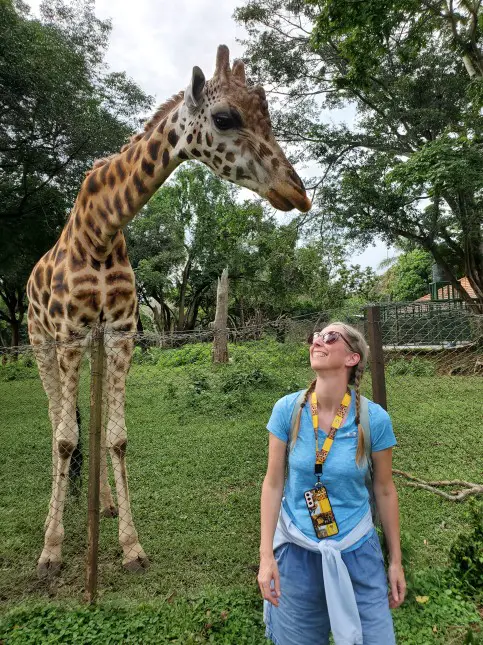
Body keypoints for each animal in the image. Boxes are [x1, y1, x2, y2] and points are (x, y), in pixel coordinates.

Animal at [27, 46, 314, 580]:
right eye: (224, 118)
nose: (297, 192)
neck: (101, 231)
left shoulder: (121, 332)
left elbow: (116, 436)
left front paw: (130, 545)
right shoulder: (70, 332)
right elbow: (64, 438)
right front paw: (51, 550)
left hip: (91, 344)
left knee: (89, 419)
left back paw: (103, 504)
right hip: (41, 341)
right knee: (58, 420)